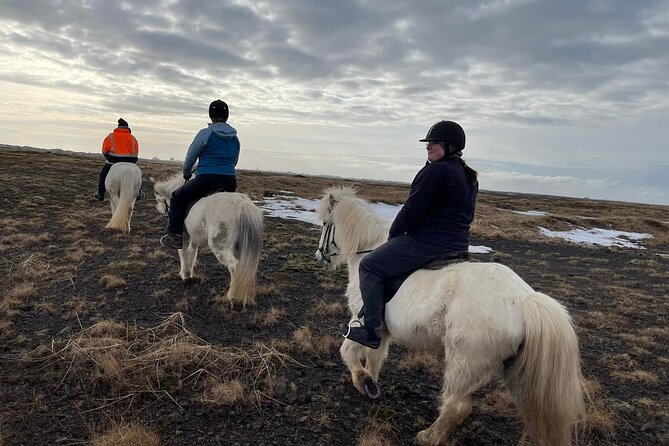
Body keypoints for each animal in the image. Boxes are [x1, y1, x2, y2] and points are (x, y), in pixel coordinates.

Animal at [153, 172, 264, 308]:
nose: (160, 208)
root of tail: (243, 204)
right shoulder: (194, 238)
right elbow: (192, 253)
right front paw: (189, 273)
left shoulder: (183, 236)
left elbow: (182, 253)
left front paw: (185, 275)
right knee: (245, 269)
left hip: (220, 247)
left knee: (235, 266)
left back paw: (234, 299)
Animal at [314, 186, 584, 446]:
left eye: (326, 223)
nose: (319, 256)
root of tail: (526, 300)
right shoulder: (382, 331)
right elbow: (374, 357)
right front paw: (371, 382)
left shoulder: (363, 321)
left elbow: (348, 351)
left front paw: (363, 380)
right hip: (518, 374)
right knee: (533, 418)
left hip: (464, 362)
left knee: (458, 406)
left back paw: (427, 437)